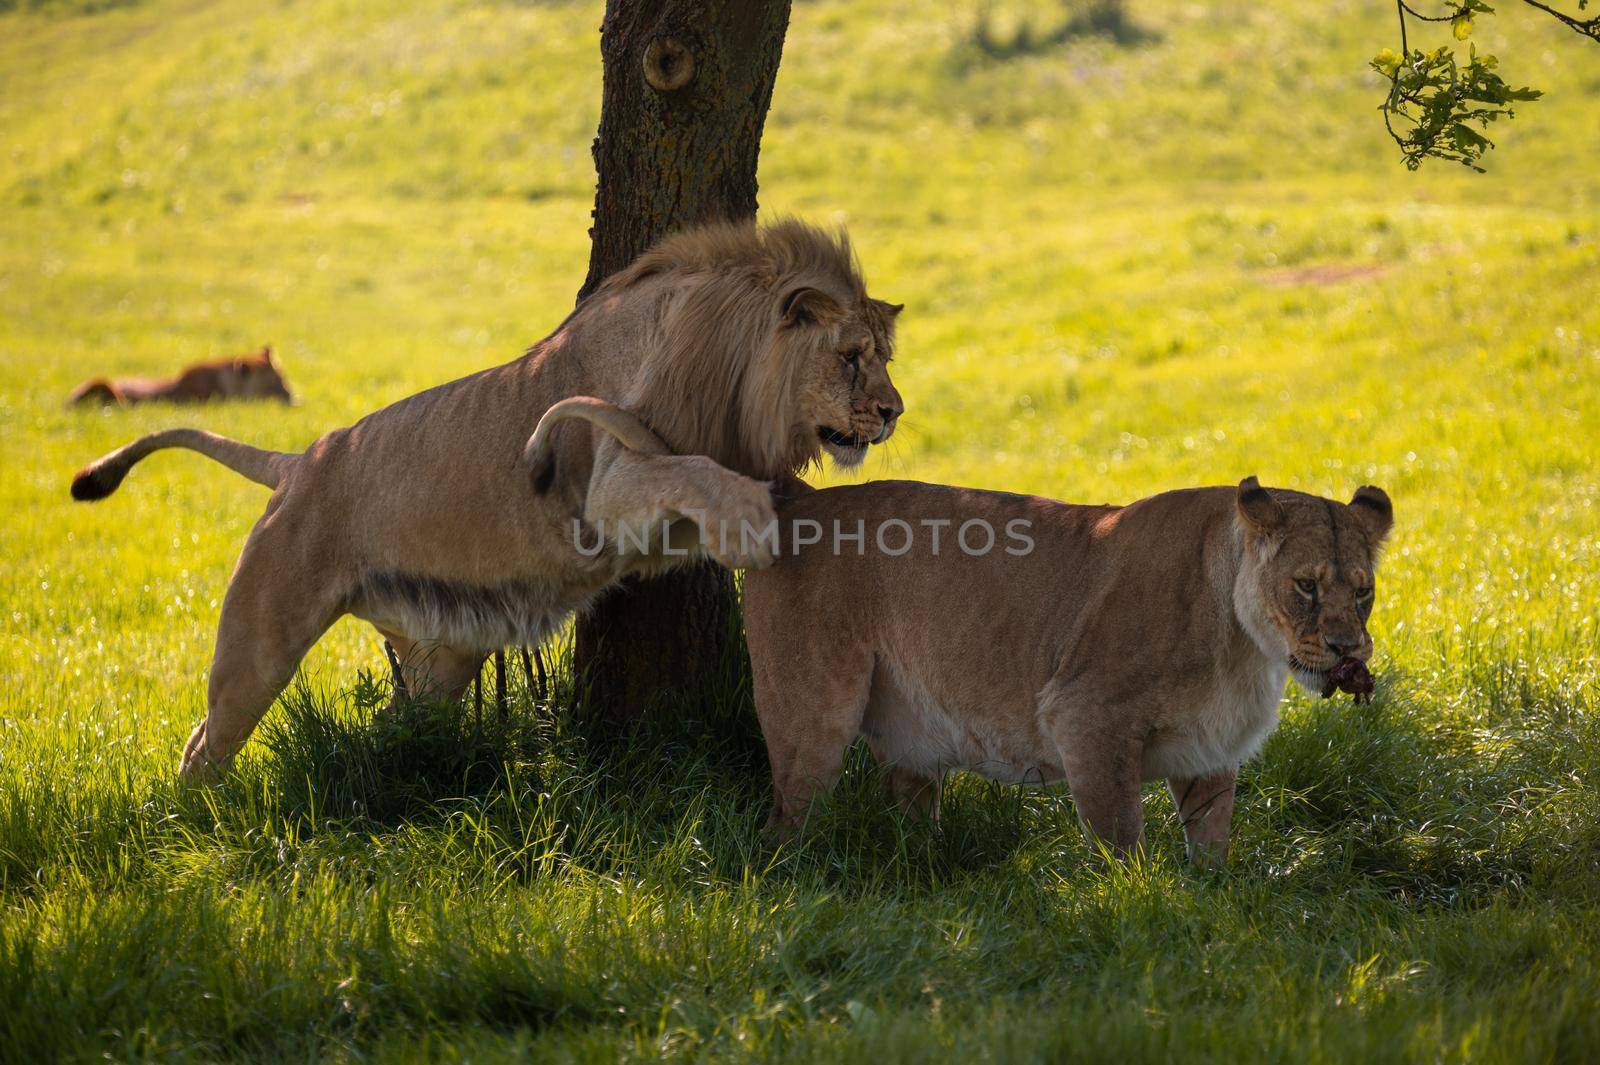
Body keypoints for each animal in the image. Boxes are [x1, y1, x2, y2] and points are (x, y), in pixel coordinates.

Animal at [732, 470, 1388, 863]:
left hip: (906, 743)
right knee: (786, 817)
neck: (1247, 650)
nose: (1347, 649)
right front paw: (1138, 904)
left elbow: (1211, 840)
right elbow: (1120, 836)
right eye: (1305, 586)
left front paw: (1213, 899)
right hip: (811, 720)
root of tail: (802, 500)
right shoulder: (1085, 716)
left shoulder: (1210, 749)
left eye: (1363, 592)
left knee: (908, 808)